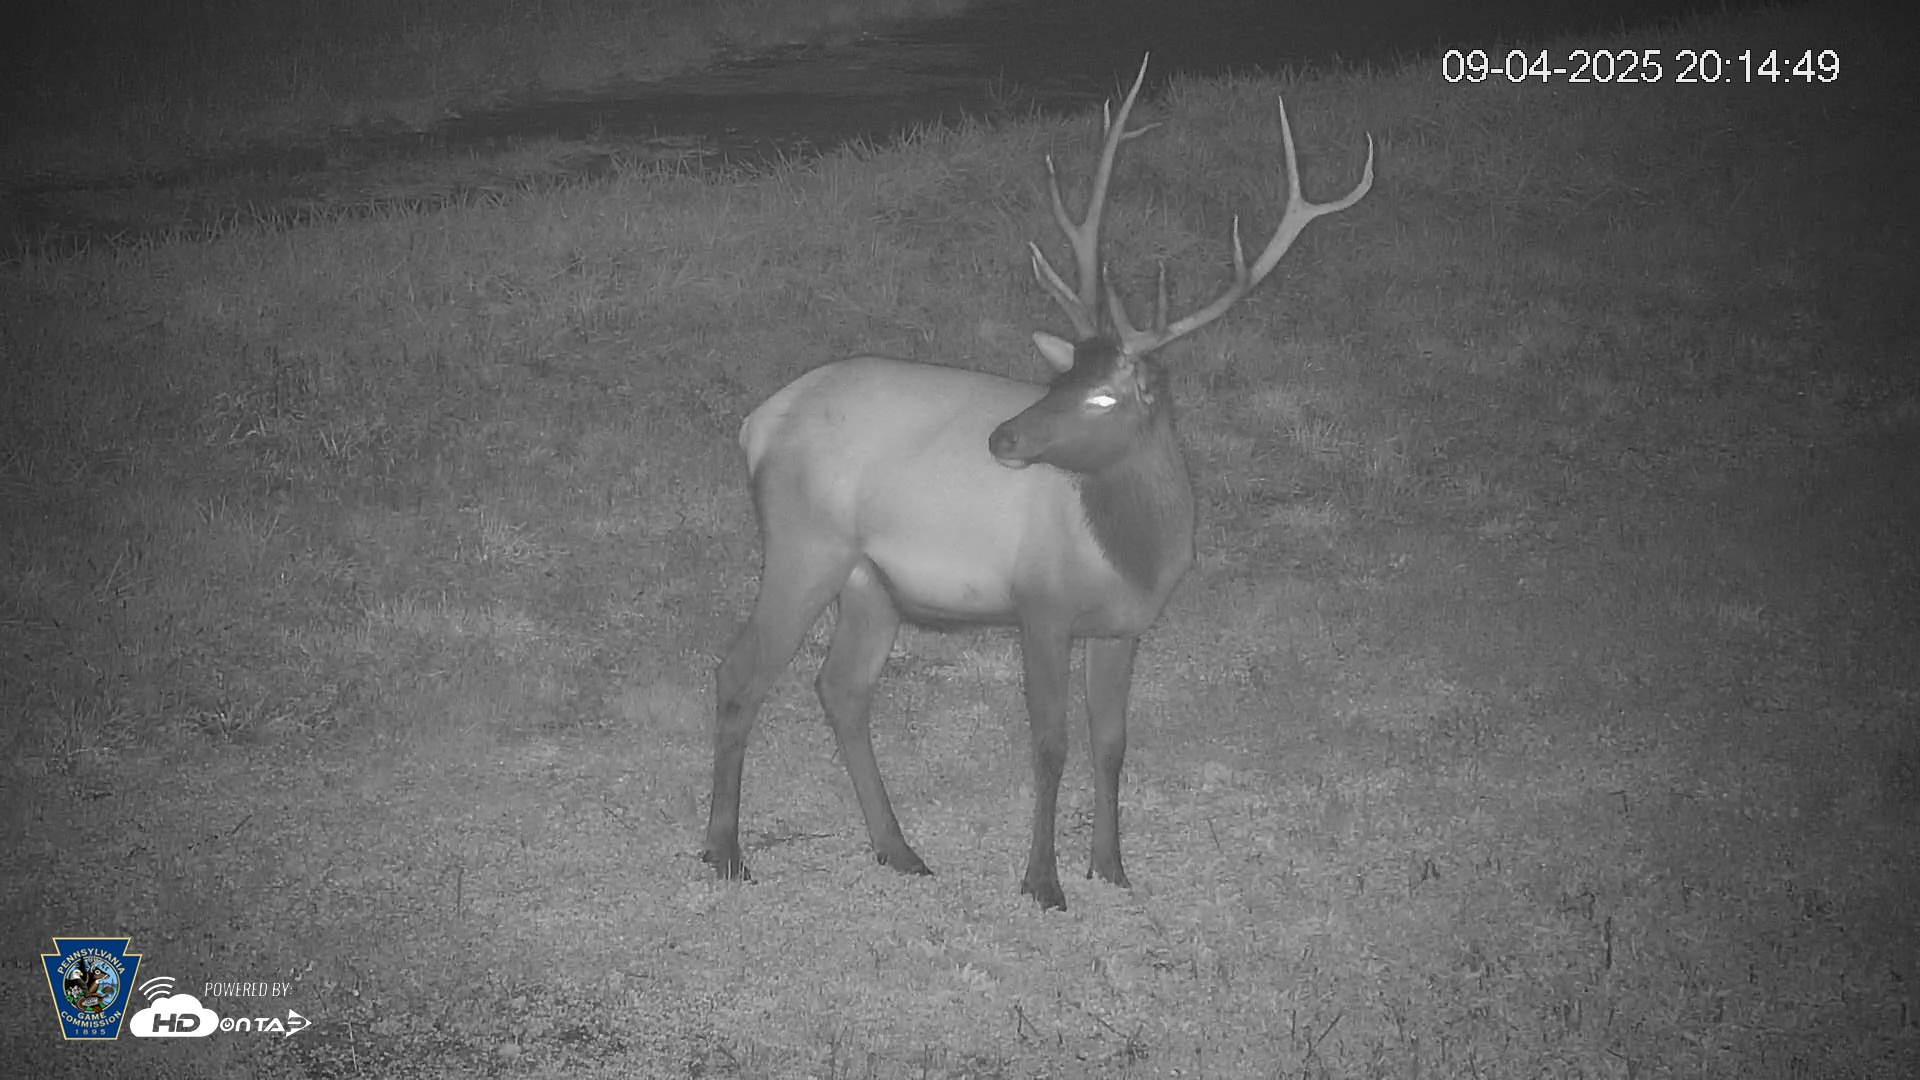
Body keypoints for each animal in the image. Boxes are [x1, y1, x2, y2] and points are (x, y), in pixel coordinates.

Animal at [703, 55, 1372, 909]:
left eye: (1101, 395)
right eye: (1059, 379)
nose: (1003, 437)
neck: (1134, 554)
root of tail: (758, 422)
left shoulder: (1125, 626)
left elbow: (1111, 742)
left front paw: (1112, 869)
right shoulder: (1040, 605)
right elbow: (1050, 742)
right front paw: (1043, 881)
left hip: (870, 580)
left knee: (841, 688)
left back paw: (899, 849)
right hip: (803, 545)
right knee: (741, 673)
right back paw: (725, 851)